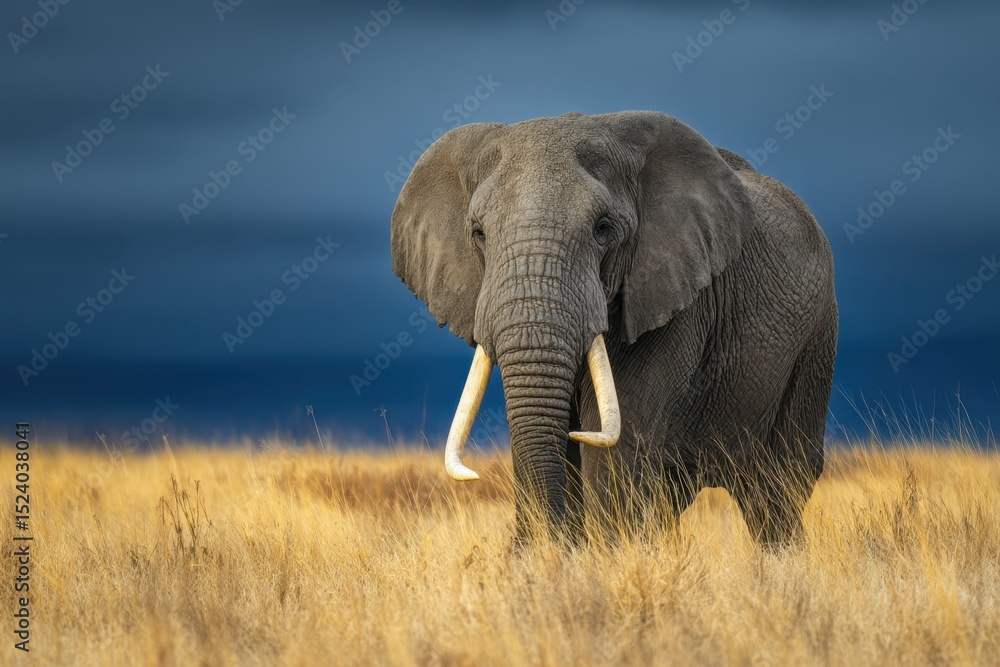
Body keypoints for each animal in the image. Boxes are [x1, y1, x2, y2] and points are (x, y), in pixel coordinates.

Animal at [390, 111, 837, 547]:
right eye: (479, 234)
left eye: (603, 228)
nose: (524, 547)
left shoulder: (675, 303)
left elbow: (616, 450)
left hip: (816, 341)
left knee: (778, 485)